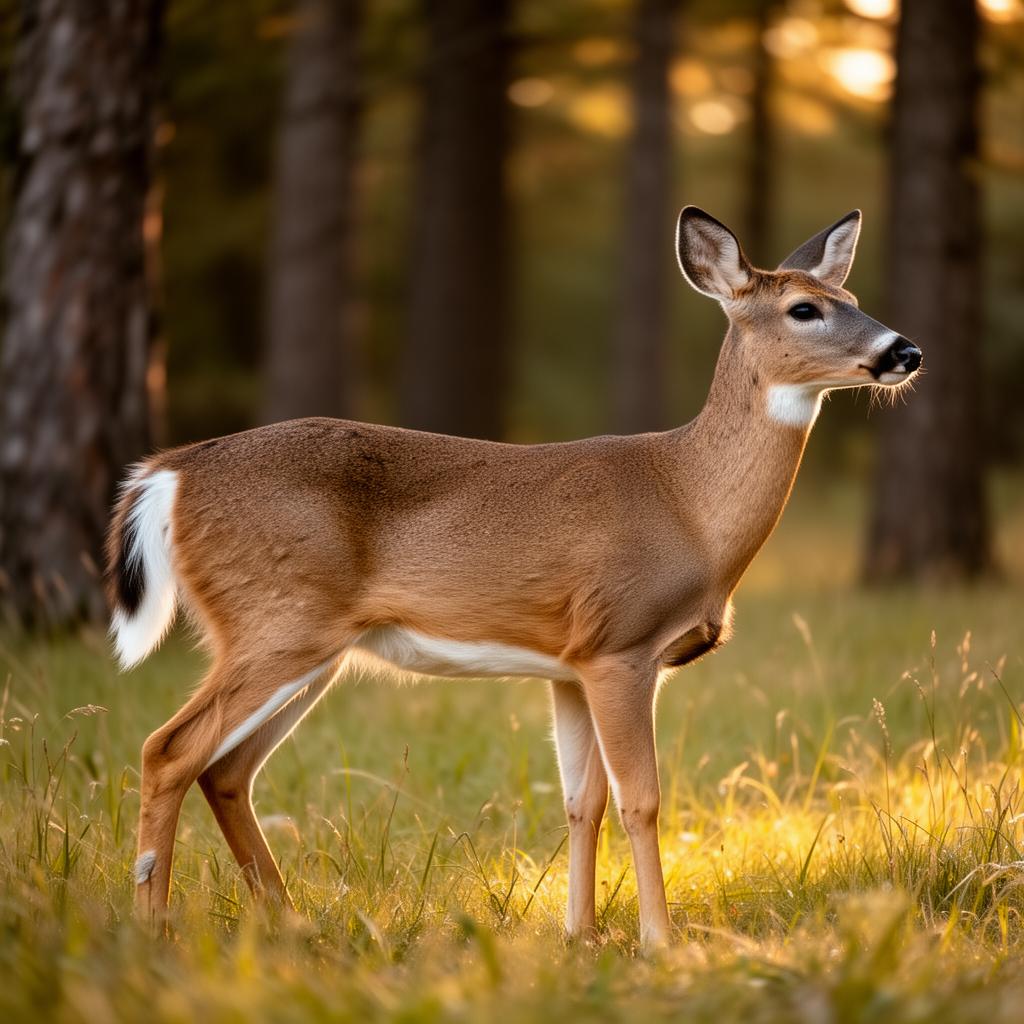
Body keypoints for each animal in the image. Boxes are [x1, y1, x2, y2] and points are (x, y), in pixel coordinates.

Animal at [107, 207, 921, 945]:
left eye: (850, 296)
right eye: (804, 308)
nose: (905, 350)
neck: (688, 504)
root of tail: (168, 473)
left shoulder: (571, 664)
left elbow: (582, 801)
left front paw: (581, 936)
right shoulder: (623, 644)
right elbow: (643, 799)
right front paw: (659, 941)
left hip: (307, 645)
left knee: (226, 770)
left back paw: (293, 923)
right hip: (277, 620)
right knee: (169, 750)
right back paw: (153, 929)